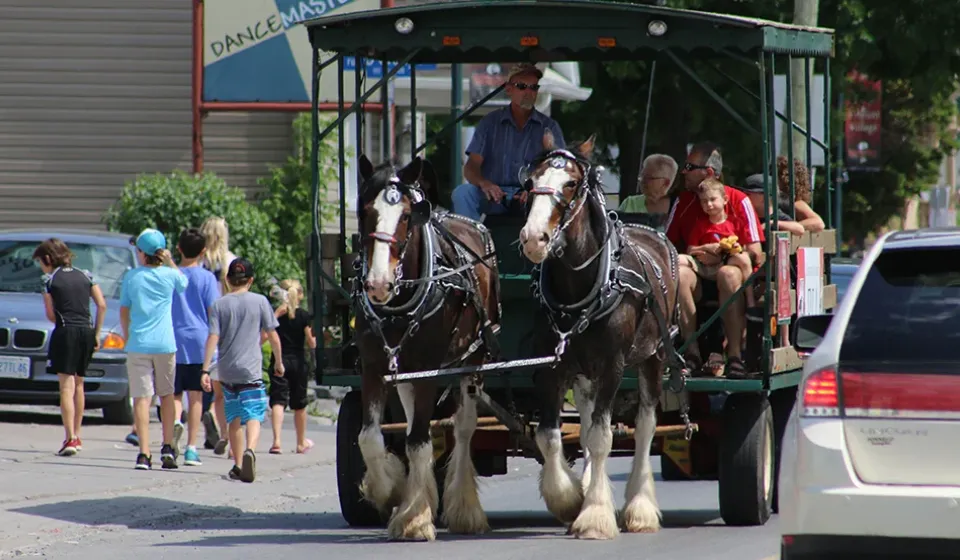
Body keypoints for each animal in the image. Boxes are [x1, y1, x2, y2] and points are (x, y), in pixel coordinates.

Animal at [352, 155, 502, 540]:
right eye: (364, 211)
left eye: (406, 215)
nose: (378, 284)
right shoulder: (373, 367)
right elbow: (370, 437)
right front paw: (389, 491)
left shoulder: (429, 369)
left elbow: (420, 441)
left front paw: (415, 519)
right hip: (406, 370)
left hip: (473, 360)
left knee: (463, 428)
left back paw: (464, 508)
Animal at [516, 130, 684, 540]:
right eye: (530, 182)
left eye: (571, 184)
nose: (534, 238)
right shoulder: (553, 367)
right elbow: (551, 435)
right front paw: (569, 499)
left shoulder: (612, 365)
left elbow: (603, 437)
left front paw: (594, 515)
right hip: (583, 371)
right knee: (589, 420)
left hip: (653, 357)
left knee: (644, 426)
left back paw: (639, 507)